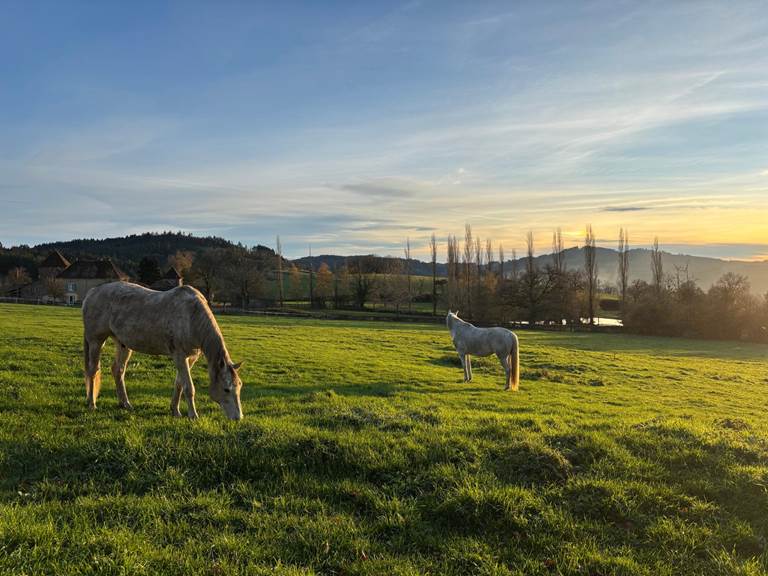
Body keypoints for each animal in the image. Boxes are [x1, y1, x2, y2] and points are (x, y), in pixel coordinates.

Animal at [82, 282, 244, 420]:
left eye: (239, 386)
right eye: (226, 389)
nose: (238, 418)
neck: (191, 317)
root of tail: (92, 292)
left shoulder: (190, 358)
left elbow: (179, 384)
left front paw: (175, 411)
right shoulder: (179, 356)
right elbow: (189, 388)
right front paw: (193, 416)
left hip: (123, 344)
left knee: (118, 370)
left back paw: (125, 404)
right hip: (96, 342)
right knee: (93, 370)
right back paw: (92, 404)